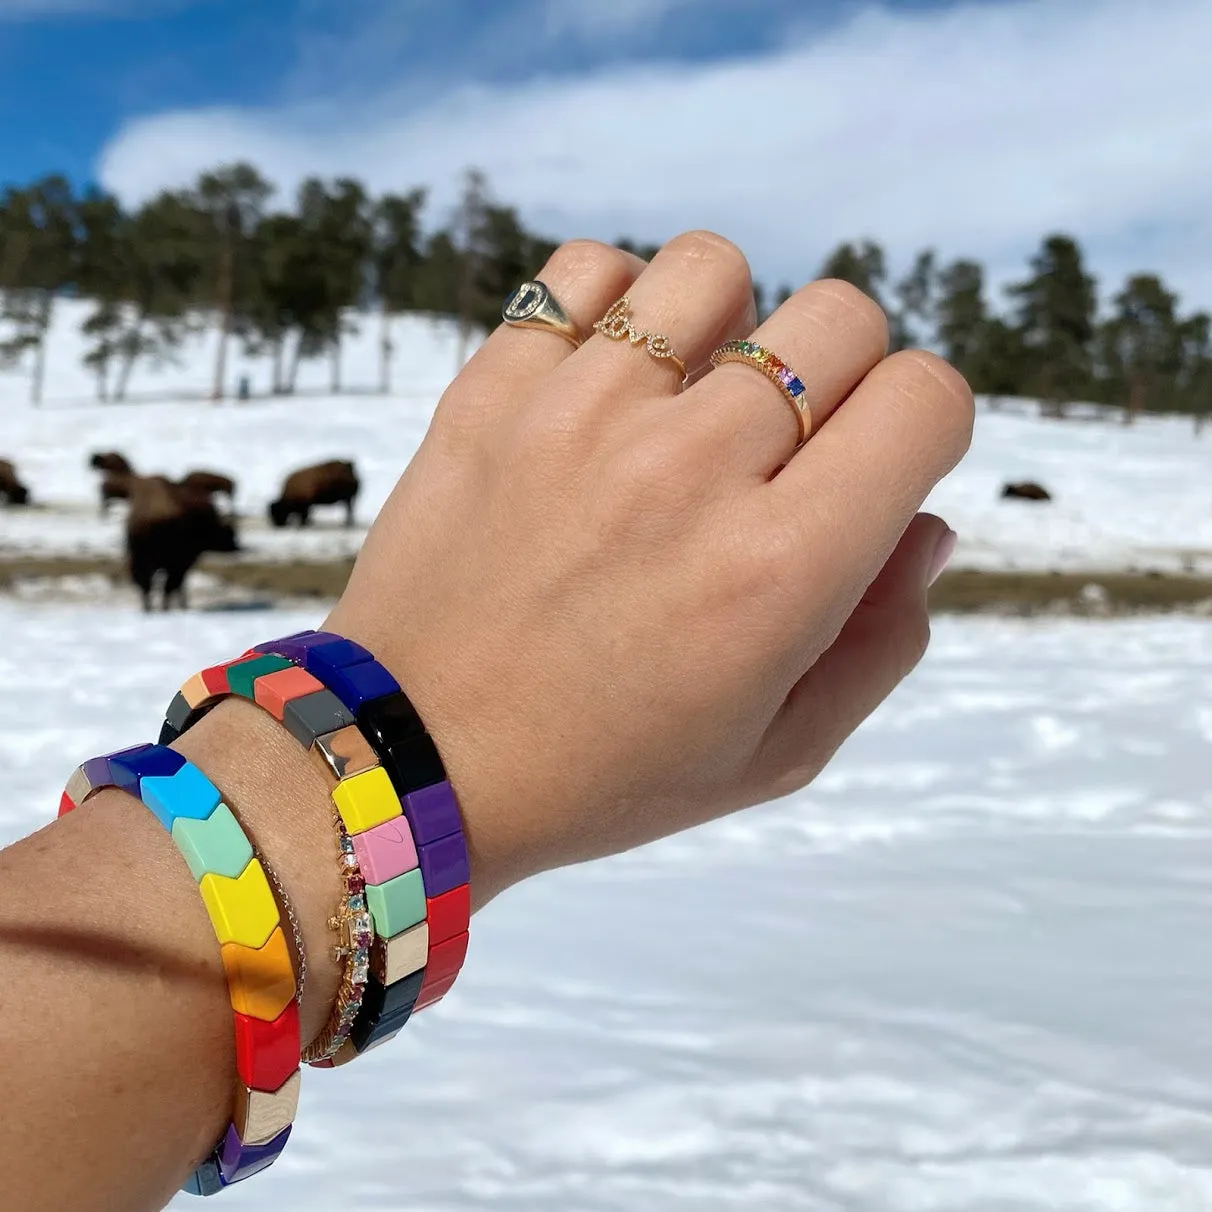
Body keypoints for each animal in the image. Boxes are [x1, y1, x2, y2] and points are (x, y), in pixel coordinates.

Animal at [126, 475, 238, 610]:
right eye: (229, 532)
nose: (235, 546)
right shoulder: (182, 563)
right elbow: (176, 585)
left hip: (142, 561)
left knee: (147, 585)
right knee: (162, 586)